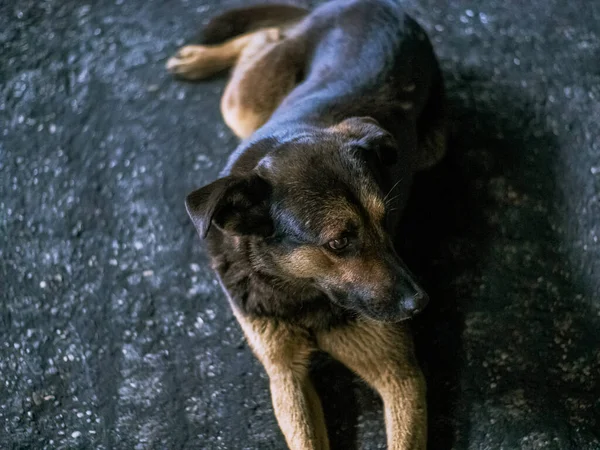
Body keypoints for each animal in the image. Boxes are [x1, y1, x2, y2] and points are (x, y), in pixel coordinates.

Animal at [166, 1, 448, 448]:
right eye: (338, 242)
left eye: (386, 220)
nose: (420, 304)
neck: (298, 288)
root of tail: (369, 4)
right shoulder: (285, 375)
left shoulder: (399, 374)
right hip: (245, 106)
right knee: (259, 43)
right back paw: (199, 59)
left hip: (433, 146)